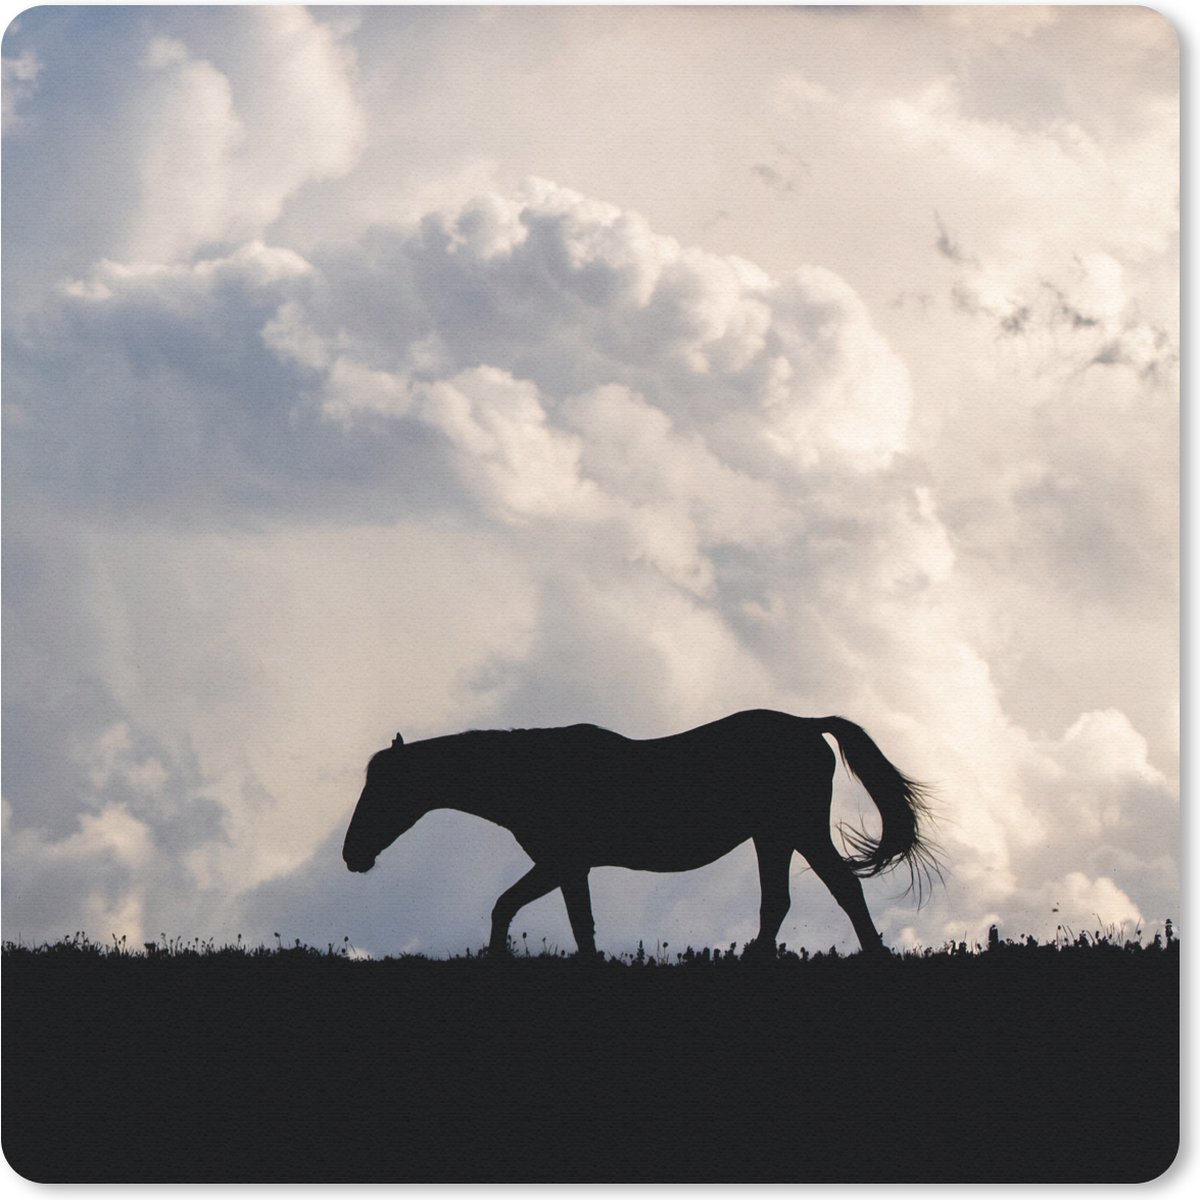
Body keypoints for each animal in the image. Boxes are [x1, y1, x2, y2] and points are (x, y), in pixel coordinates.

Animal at [342, 709, 939, 958]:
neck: (536, 773)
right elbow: (557, 919)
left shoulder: (561, 862)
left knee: (844, 888)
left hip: (797, 830)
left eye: (381, 791)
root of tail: (810, 725)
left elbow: (528, 911)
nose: (352, 856)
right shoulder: (567, 867)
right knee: (780, 901)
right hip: (774, 836)